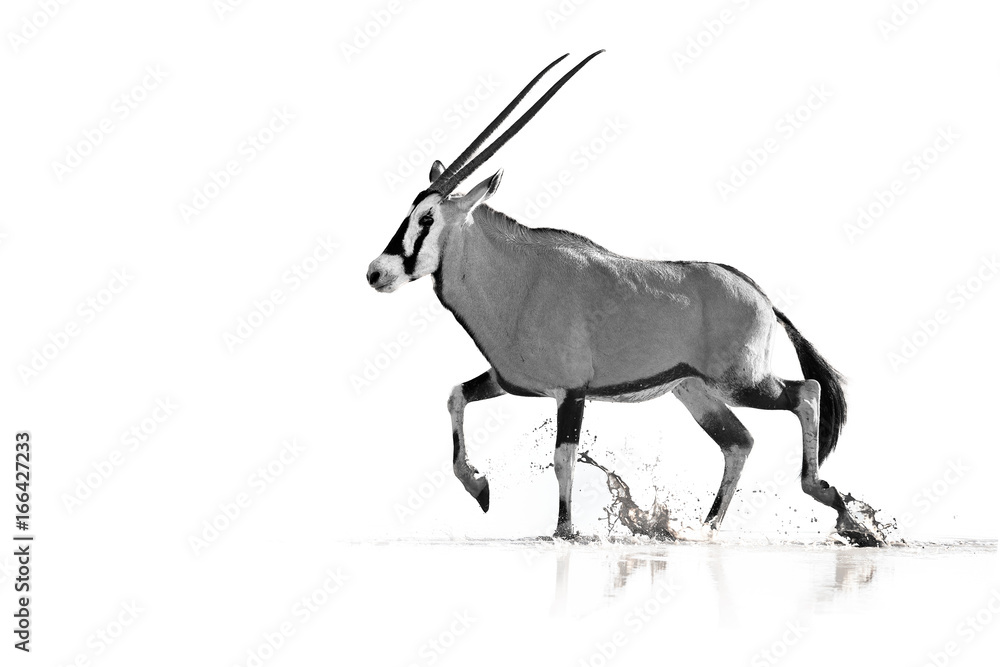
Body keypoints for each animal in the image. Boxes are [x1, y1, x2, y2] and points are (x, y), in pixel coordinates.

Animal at [367, 51, 862, 541]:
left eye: (427, 219)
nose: (377, 272)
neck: (517, 276)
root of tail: (761, 297)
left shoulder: (571, 392)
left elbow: (563, 457)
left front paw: (565, 529)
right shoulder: (509, 381)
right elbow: (455, 396)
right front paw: (479, 487)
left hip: (740, 382)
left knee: (806, 392)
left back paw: (831, 502)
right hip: (694, 391)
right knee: (739, 441)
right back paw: (706, 528)